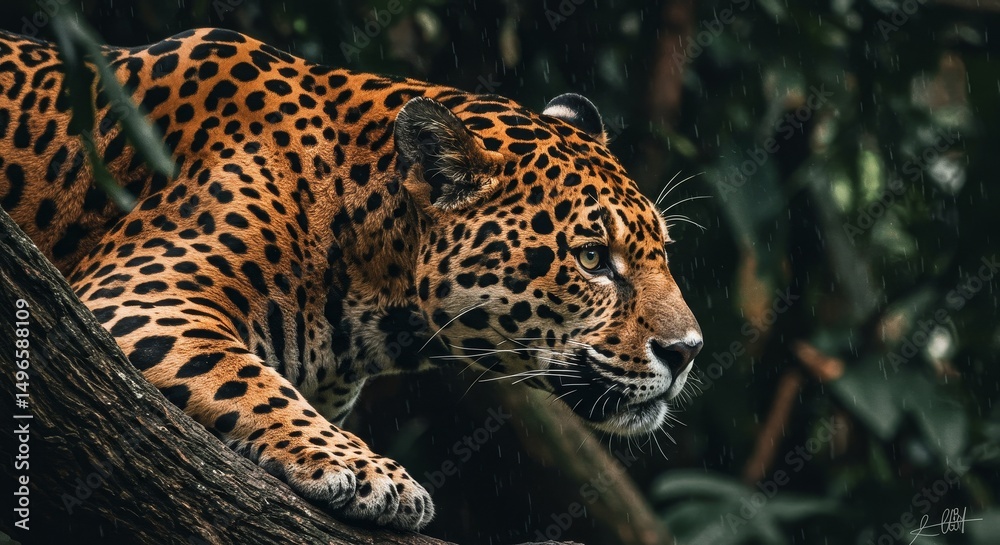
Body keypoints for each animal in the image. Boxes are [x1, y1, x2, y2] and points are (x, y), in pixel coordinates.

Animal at [0, 27, 703, 531]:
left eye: (662, 254)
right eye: (592, 259)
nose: (688, 352)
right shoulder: (137, 294)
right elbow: (250, 379)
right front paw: (368, 473)